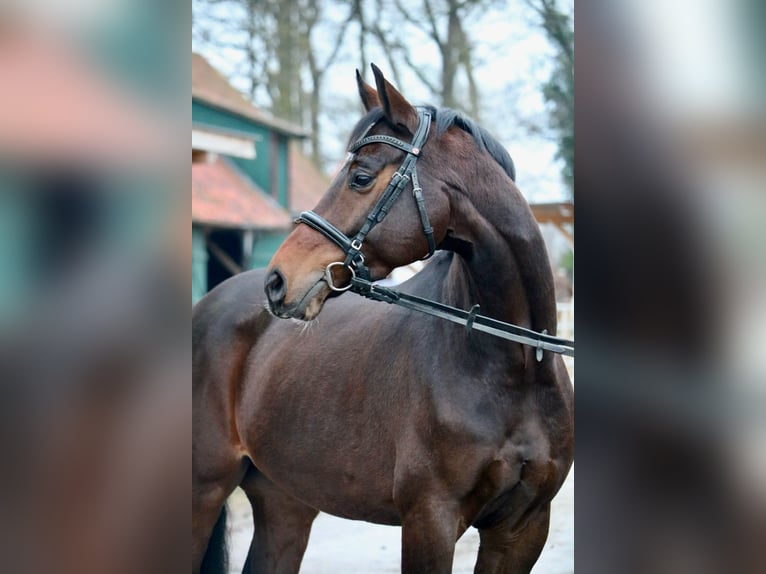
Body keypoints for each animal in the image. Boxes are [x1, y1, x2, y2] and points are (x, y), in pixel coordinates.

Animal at [195, 65, 572, 572]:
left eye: (360, 176)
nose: (277, 281)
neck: (515, 370)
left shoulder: (522, 529)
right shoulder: (430, 520)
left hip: (284, 499)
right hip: (203, 489)